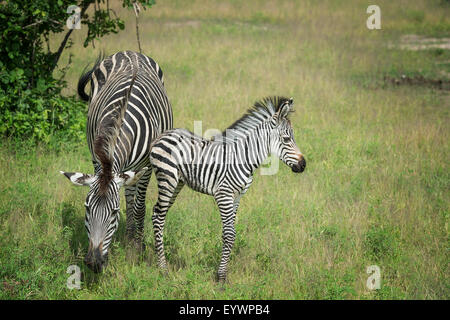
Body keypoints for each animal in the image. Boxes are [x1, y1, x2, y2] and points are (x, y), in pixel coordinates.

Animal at [59, 50, 172, 272]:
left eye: (113, 213)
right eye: (87, 208)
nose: (93, 263)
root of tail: (130, 52)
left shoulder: (145, 168)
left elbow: (139, 208)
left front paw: (136, 250)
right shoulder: (98, 160)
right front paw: (129, 243)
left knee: (134, 200)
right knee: (128, 195)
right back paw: (129, 236)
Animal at [149, 96, 308, 282]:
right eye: (286, 139)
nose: (303, 165)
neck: (244, 158)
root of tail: (163, 135)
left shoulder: (237, 197)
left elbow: (230, 232)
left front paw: (223, 274)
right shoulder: (223, 194)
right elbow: (229, 234)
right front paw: (221, 277)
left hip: (177, 182)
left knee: (158, 213)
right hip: (167, 178)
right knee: (158, 216)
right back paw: (163, 269)